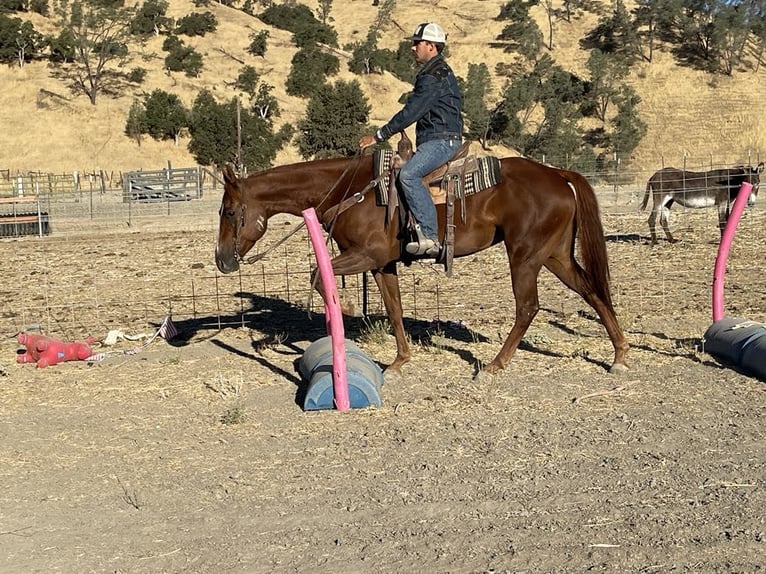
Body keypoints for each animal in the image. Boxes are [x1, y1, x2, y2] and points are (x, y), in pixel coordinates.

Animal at [216, 154, 632, 378]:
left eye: (230, 211)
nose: (221, 260)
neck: (351, 190)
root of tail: (558, 174)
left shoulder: (366, 256)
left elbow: (319, 275)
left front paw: (344, 308)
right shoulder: (381, 265)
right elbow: (395, 309)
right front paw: (399, 361)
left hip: (525, 256)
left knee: (528, 306)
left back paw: (495, 365)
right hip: (556, 255)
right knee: (593, 291)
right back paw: (619, 356)